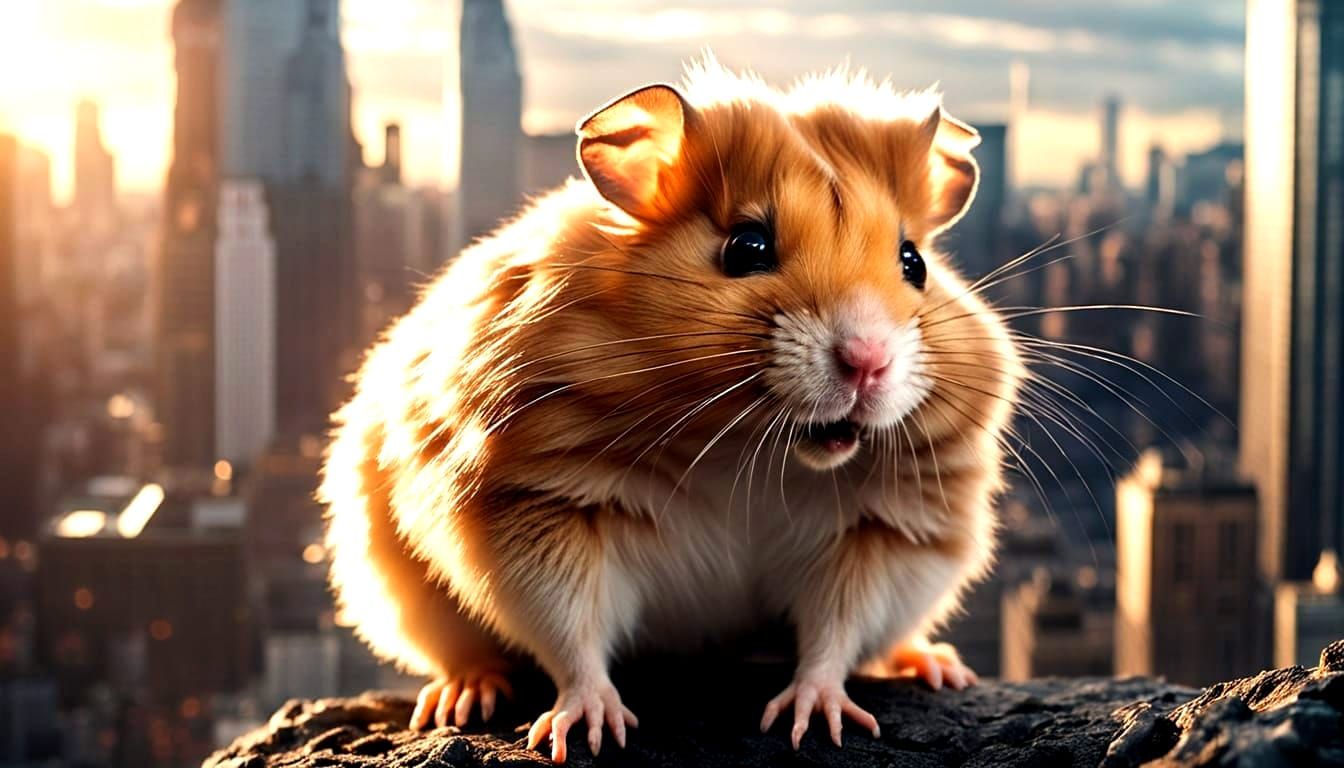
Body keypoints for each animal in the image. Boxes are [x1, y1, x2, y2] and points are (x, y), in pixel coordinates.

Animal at [320, 58, 1022, 763]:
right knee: (465, 654)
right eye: (747, 247)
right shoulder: (542, 512)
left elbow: (835, 633)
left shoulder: (880, 535)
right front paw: (587, 731)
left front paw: (814, 721)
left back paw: (937, 665)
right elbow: (569, 632)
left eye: (915, 262)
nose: (869, 362)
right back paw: (464, 694)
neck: (743, 451)